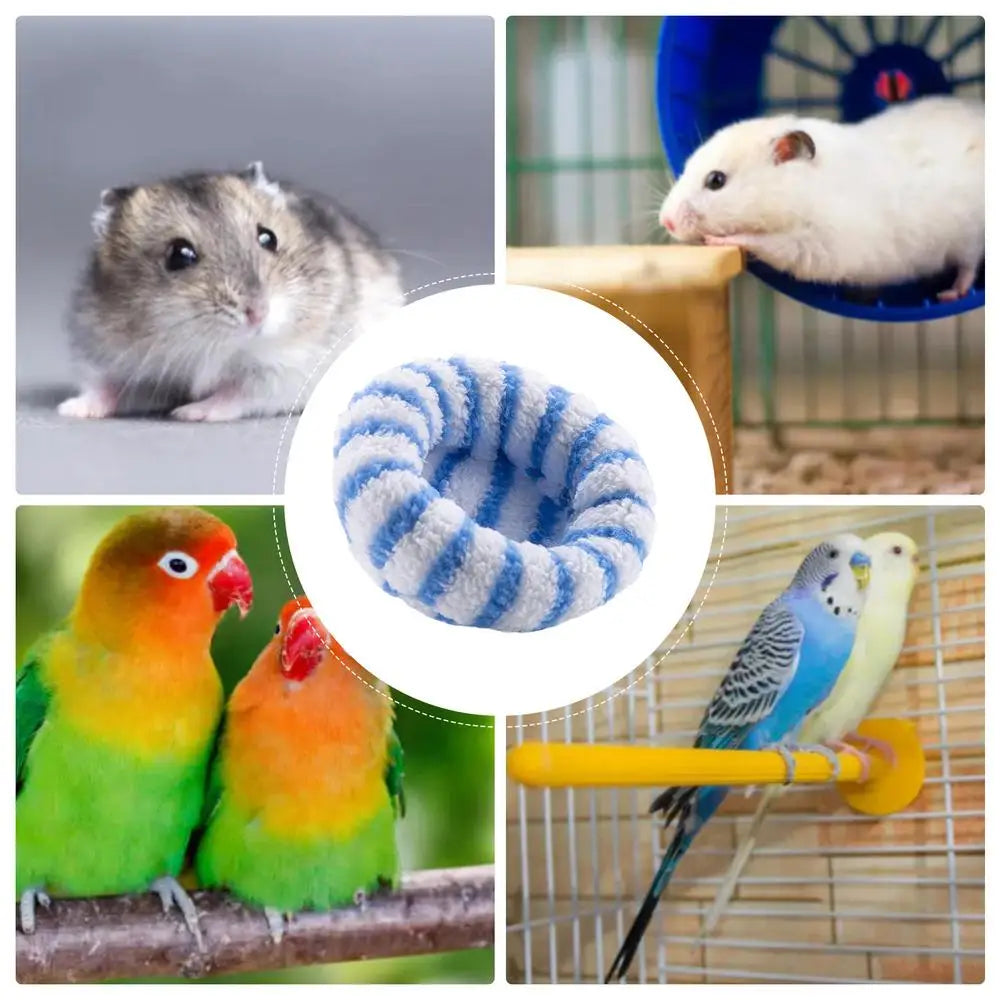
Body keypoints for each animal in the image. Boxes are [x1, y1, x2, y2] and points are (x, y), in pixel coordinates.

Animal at [59, 162, 403, 421]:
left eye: (268, 238)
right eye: (178, 255)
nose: (258, 313)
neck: (211, 346)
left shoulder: (288, 367)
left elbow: (238, 392)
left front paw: (189, 412)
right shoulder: (105, 350)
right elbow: (105, 386)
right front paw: (71, 409)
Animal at [659, 96, 984, 300]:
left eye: (716, 181)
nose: (666, 222)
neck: (805, 190)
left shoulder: (819, 245)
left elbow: (767, 244)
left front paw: (718, 239)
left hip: (967, 237)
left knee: (968, 266)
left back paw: (950, 294)